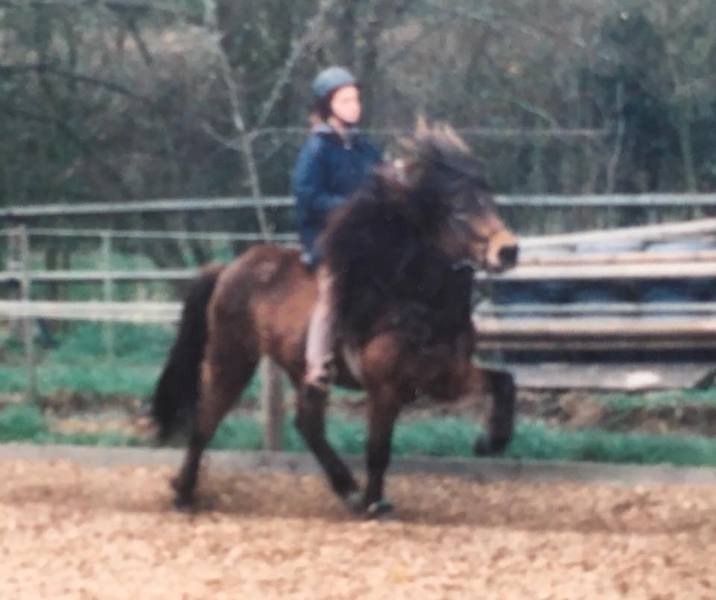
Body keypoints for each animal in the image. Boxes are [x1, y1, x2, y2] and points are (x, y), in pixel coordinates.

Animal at [151, 121, 519, 518]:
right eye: (458, 210)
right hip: (231, 358)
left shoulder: (447, 376)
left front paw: (490, 442)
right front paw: (375, 503)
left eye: (490, 201)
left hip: (298, 369)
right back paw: (184, 493)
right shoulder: (386, 388)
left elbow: (504, 382)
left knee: (307, 424)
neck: (413, 300)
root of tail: (228, 269)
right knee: (206, 420)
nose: (508, 251)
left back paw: (347, 489)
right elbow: (378, 450)